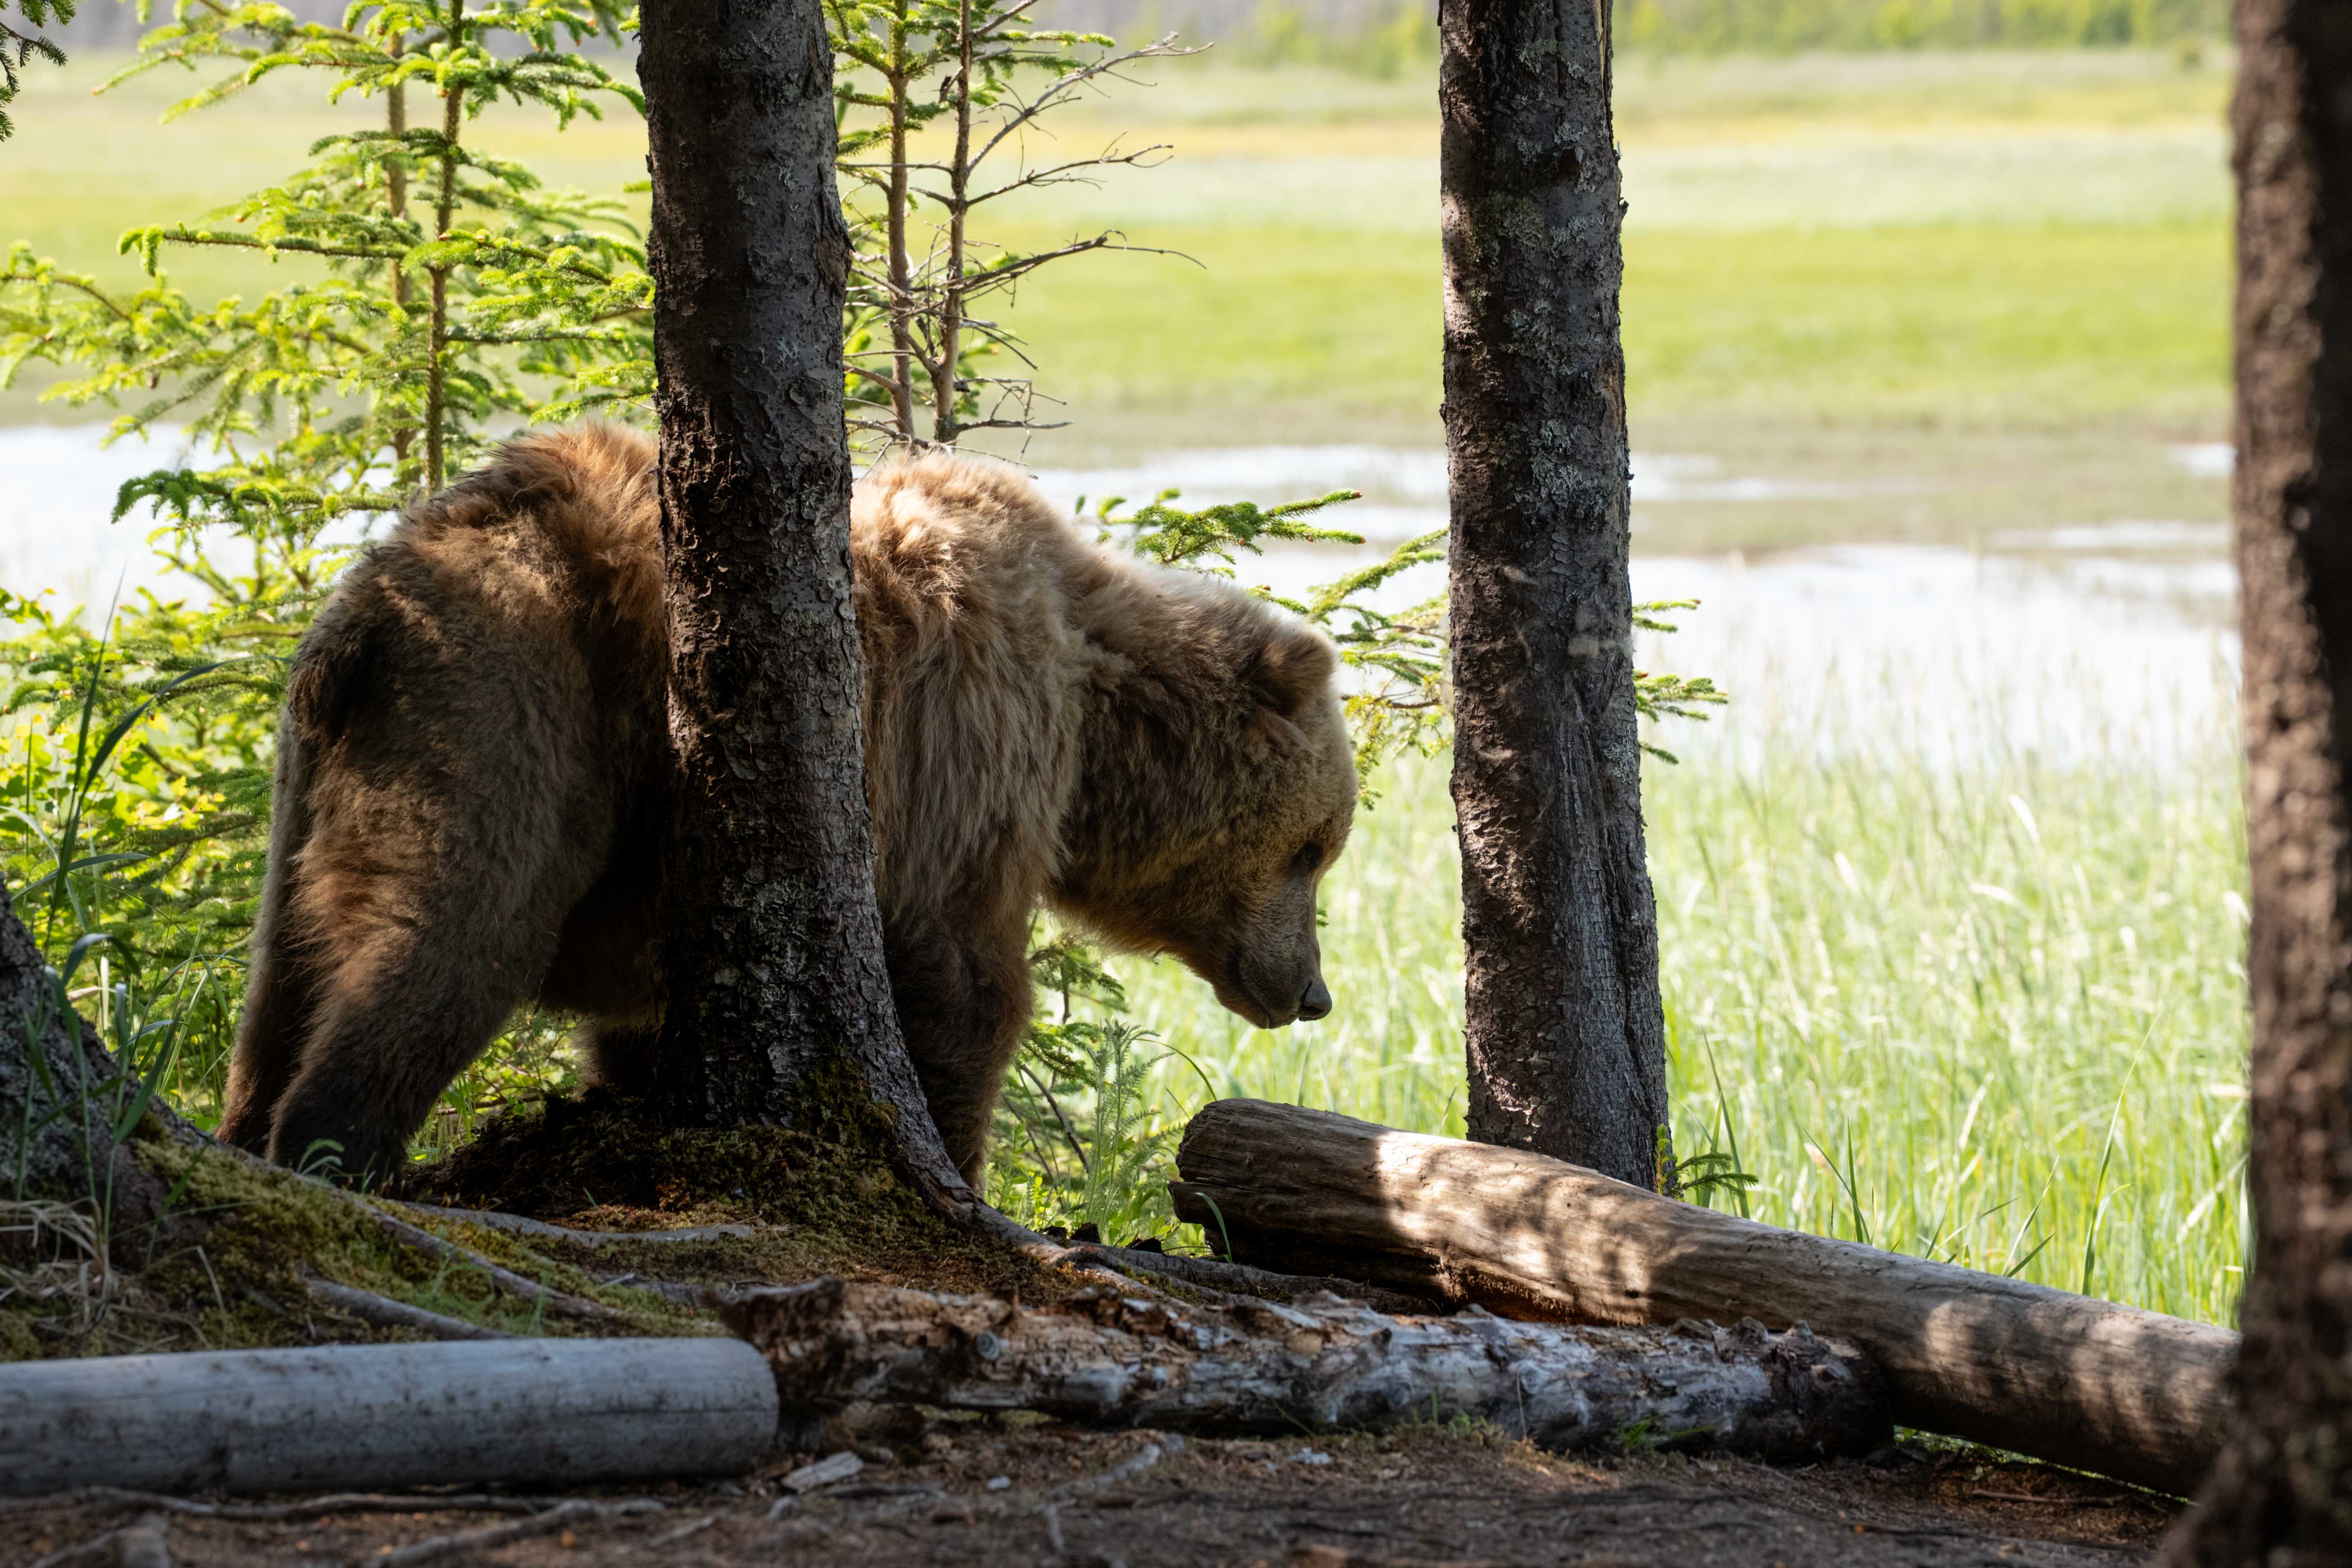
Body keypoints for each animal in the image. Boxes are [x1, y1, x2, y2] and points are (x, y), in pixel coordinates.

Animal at [217, 423, 1358, 1186]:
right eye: (1314, 848)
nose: (1310, 992)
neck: (1086, 710)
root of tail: (369, 606)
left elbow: (648, 1022)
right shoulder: (963, 748)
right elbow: (964, 985)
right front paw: (957, 1163)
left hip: (318, 774)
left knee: (288, 975)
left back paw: (246, 1128)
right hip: (509, 696)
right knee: (457, 927)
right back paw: (337, 1149)